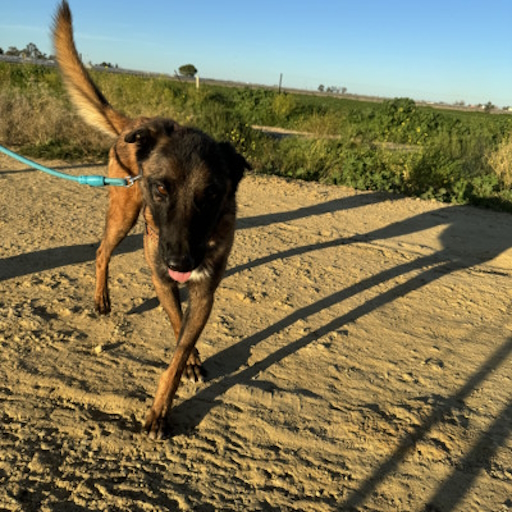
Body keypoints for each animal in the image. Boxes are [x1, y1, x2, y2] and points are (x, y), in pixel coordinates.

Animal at [53, 1, 250, 439]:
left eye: (211, 195)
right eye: (160, 188)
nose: (180, 261)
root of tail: (133, 125)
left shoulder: (204, 291)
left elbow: (177, 353)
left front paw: (165, 401)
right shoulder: (161, 275)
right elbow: (176, 324)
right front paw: (185, 369)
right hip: (124, 213)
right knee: (101, 251)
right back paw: (101, 298)